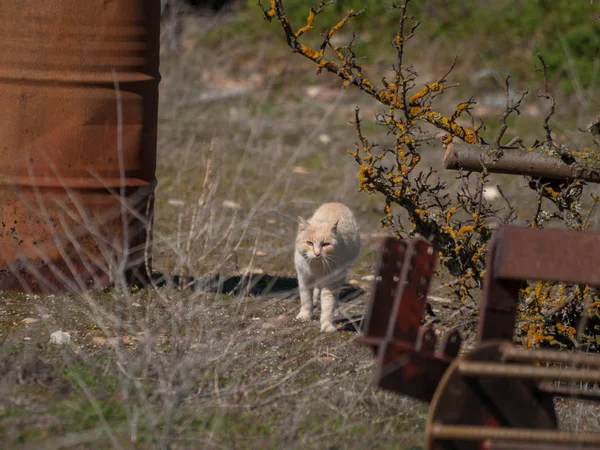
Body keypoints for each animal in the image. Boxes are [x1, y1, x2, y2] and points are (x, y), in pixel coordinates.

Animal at [292, 202, 358, 332]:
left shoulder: (331, 284)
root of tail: (336, 203)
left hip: (341, 276)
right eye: (309, 243)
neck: (316, 267)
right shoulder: (304, 280)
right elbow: (306, 299)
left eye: (325, 244)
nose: (317, 254)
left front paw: (327, 325)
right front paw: (305, 315)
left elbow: (328, 305)